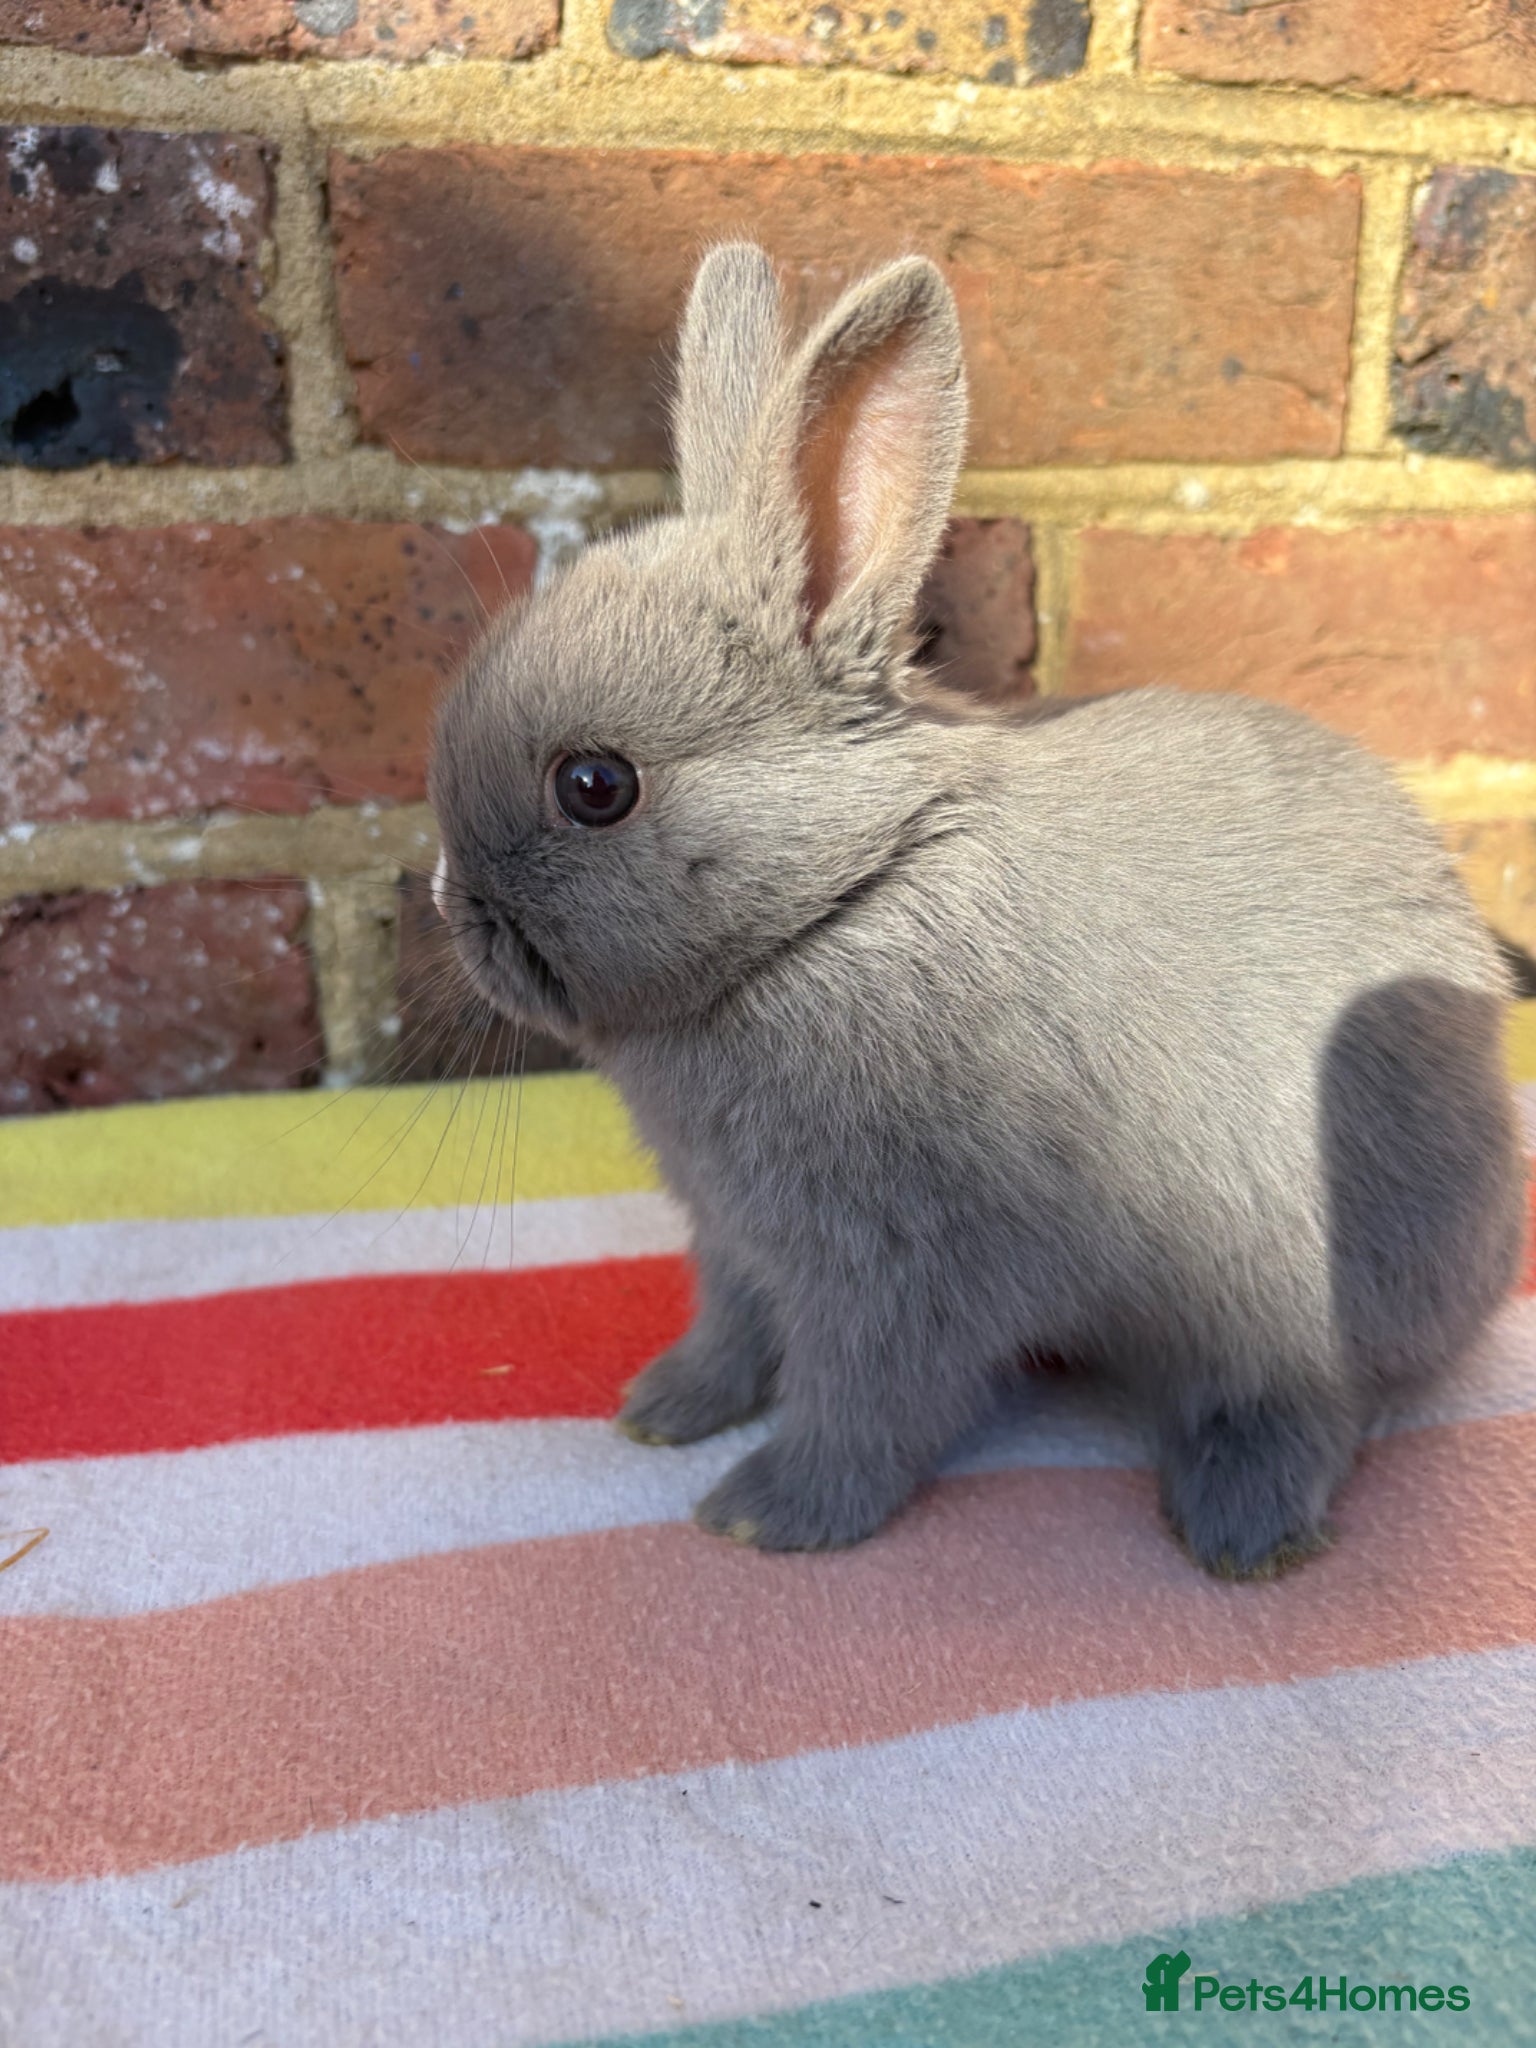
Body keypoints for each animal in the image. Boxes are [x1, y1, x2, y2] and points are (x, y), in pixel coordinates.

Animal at [428, 242, 1526, 1578]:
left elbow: (868, 1403)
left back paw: (1240, 1524)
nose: (458, 909)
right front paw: (665, 1409)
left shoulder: (899, 1269)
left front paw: (765, 1513)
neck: (841, 898)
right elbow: (734, 1329)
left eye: (596, 786)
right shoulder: (740, 1240)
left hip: (1295, 1273)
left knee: (1316, 1401)